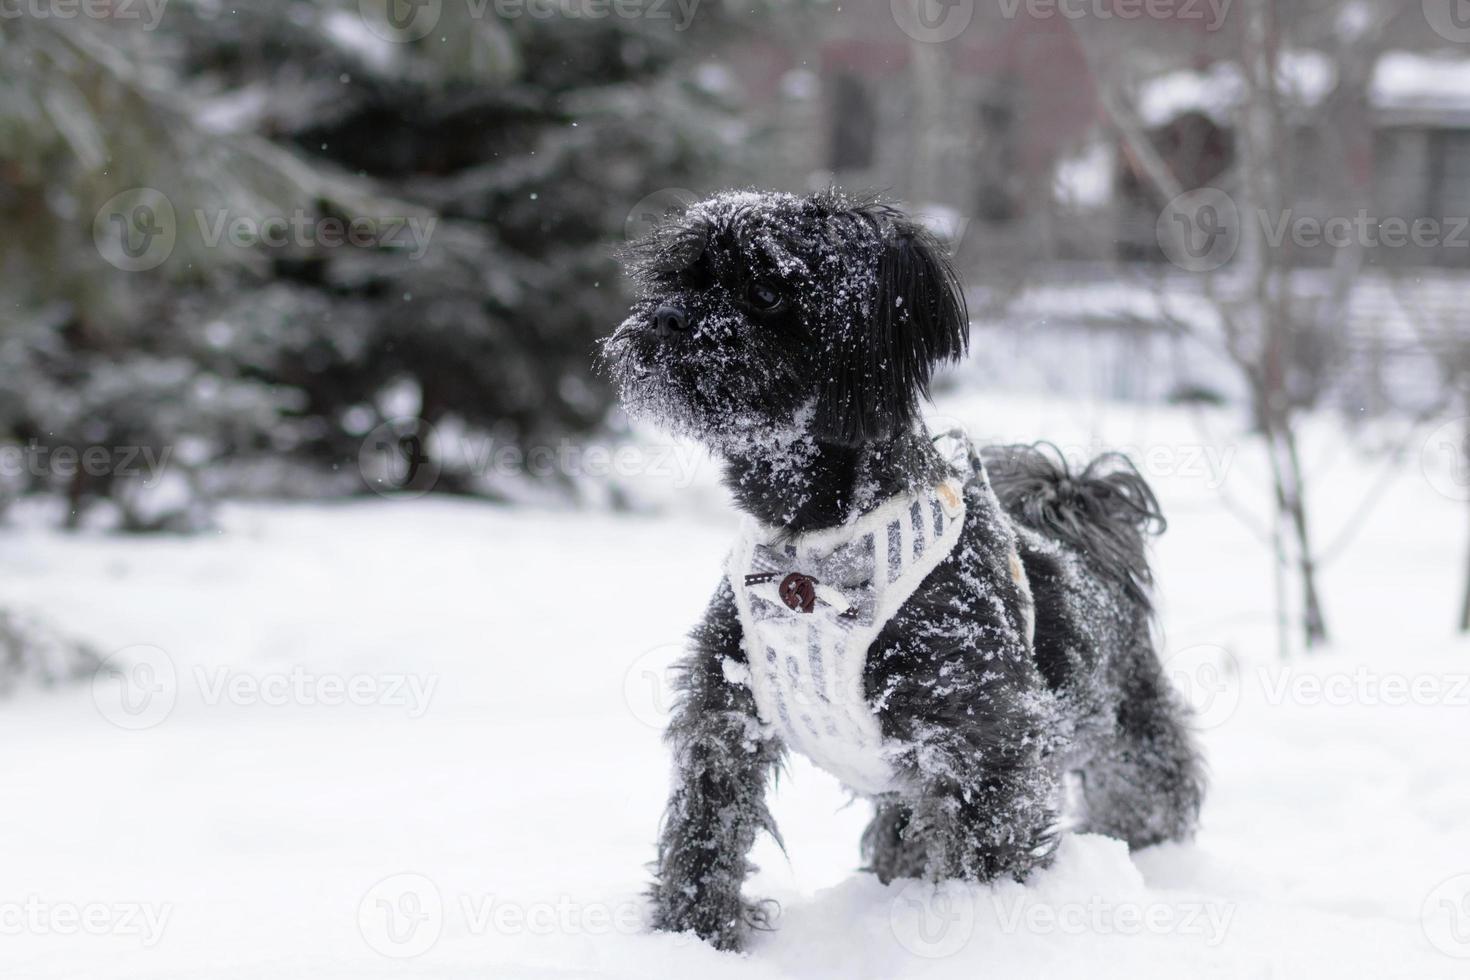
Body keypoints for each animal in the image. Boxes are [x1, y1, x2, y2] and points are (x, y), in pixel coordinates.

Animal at [599, 189, 1205, 952]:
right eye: (681, 277)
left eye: (766, 289)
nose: (669, 316)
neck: (810, 541)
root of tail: (1075, 511)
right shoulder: (725, 715)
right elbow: (702, 840)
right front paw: (693, 939)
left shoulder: (984, 745)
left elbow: (986, 859)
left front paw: (984, 936)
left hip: (1128, 750)